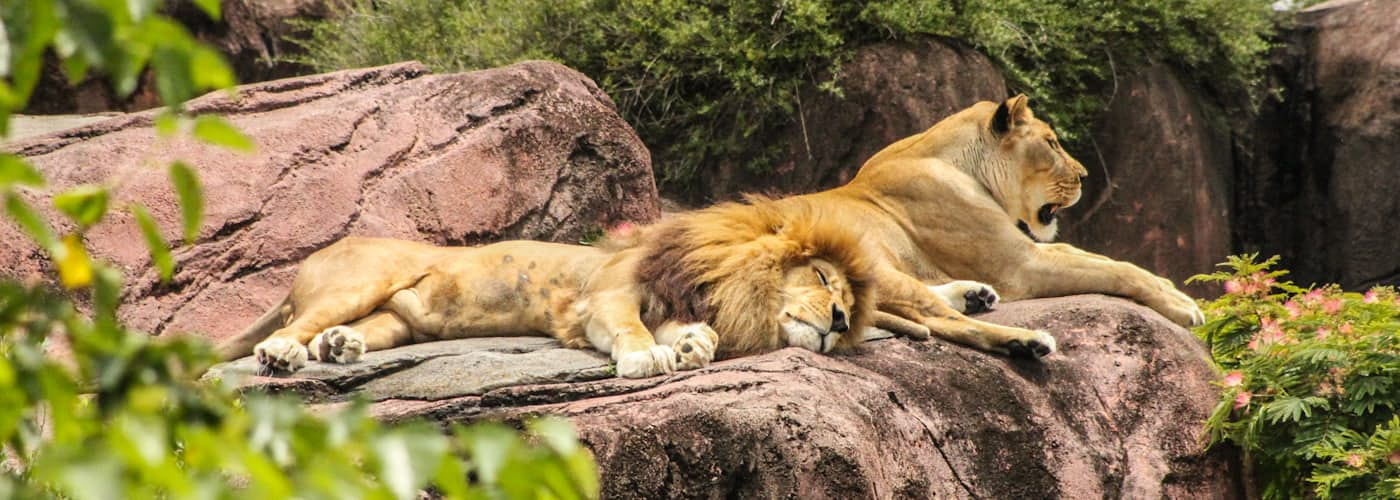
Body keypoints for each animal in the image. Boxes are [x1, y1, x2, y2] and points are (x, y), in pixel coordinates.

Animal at [761, 93, 1209, 350]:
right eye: (1051, 143)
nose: (1084, 176)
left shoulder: (1027, 248)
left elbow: (1108, 259)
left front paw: (1171, 288)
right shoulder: (1020, 265)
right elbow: (1118, 272)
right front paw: (1182, 307)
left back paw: (976, 296)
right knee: (933, 319)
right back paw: (1023, 340)